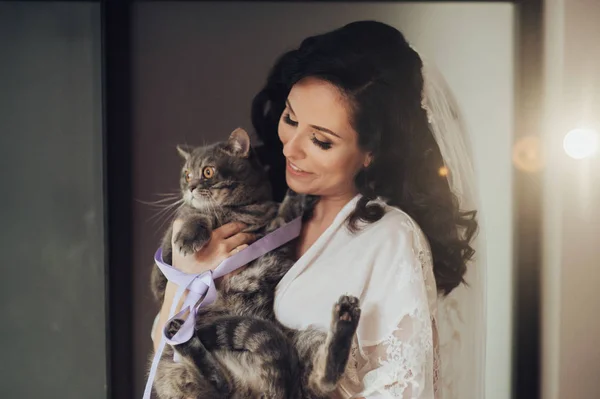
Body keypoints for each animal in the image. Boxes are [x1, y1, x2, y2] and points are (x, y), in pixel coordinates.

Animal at [150, 129, 360, 399]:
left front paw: (300, 194)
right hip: (171, 367)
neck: (238, 210)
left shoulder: (271, 231)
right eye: (187, 174)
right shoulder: (167, 258)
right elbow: (190, 215)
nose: (191, 186)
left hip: (299, 342)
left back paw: (345, 319)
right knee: (216, 386)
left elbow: (285, 213)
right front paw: (189, 234)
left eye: (208, 172)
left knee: (321, 378)